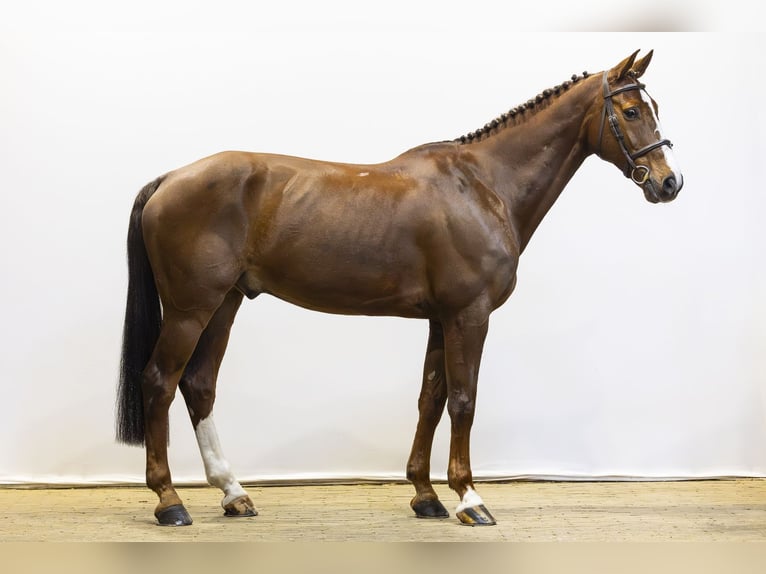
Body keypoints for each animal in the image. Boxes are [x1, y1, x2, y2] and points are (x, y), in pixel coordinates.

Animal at [117, 50, 683, 527]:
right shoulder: (469, 315)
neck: (483, 185)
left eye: (652, 106)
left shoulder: (440, 317)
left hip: (225, 303)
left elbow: (430, 398)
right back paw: (170, 501)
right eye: (632, 110)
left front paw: (426, 496)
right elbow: (463, 400)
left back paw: (234, 493)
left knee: (199, 384)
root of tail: (170, 178)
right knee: (160, 381)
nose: (668, 182)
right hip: (191, 308)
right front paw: (470, 498)